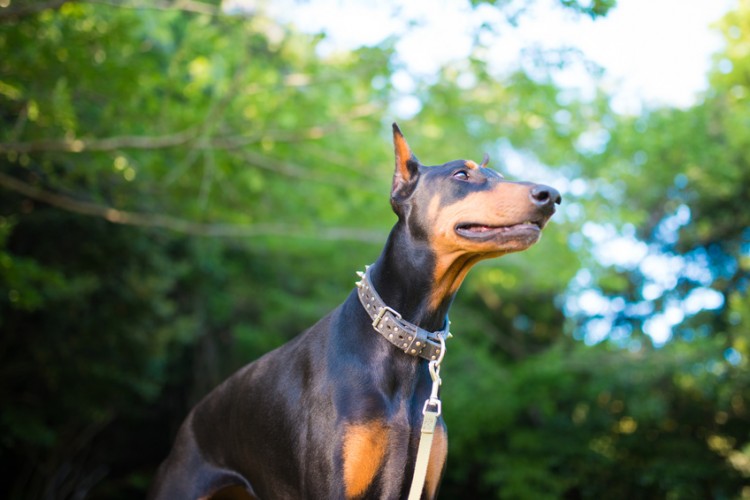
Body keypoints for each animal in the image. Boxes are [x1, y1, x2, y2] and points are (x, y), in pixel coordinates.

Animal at [150, 125, 560, 500]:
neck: (403, 339)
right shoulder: (335, 486)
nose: (552, 195)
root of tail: (190, 421)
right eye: (462, 174)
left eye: (500, 176)